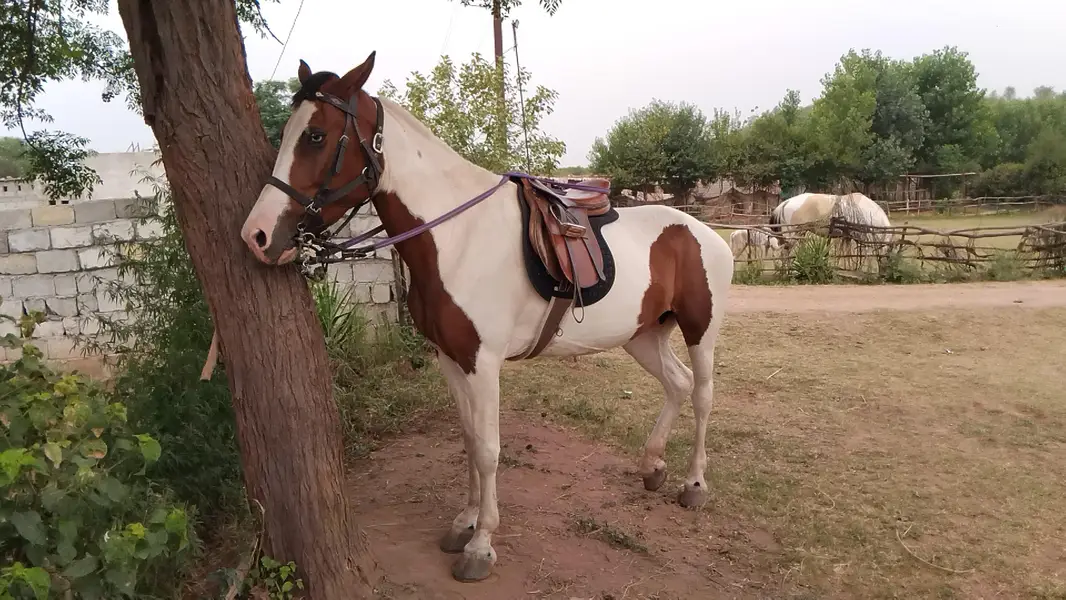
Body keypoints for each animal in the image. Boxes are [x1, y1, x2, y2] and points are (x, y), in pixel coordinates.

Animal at [239, 52, 734, 583]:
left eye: (315, 136)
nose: (257, 234)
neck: (457, 237)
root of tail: (705, 233)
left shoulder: (483, 363)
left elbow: (489, 451)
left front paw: (481, 546)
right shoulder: (451, 359)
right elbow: (470, 442)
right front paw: (464, 523)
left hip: (701, 331)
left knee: (702, 395)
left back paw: (694, 484)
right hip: (642, 334)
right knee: (677, 384)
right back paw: (652, 467)